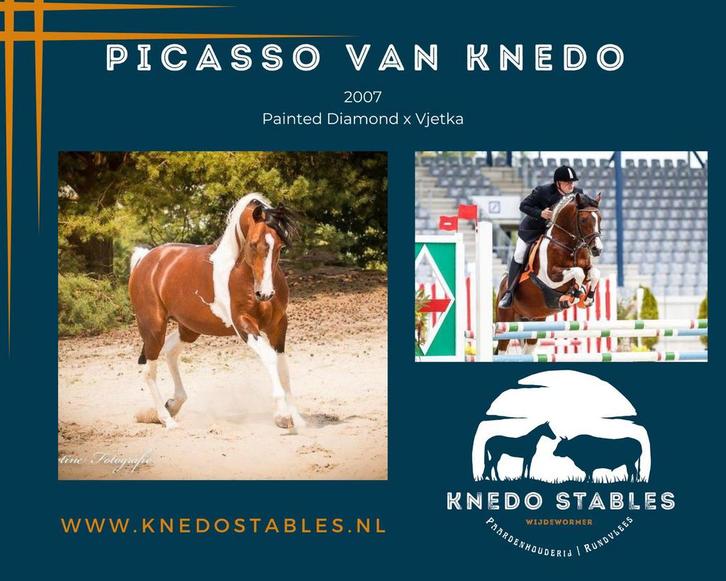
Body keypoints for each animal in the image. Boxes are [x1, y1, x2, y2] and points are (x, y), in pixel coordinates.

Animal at [128, 192, 305, 430]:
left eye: (280, 246)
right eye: (253, 244)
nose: (265, 294)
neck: (241, 273)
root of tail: (145, 260)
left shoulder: (278, 325)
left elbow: (283, 369)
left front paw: (298, 419)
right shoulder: (244, 325)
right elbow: (269, 358)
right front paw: (282, 416)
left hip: (189, 329)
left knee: (170, 351)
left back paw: (173, 404)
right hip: (153, 328)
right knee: (149, 370)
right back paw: (167, 420)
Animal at [495, 192, 603, 356]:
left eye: (600, 218)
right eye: (584, 220)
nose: (598, 249)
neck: (569, 245)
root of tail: (501, 286)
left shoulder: (587, 269)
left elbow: (594, 273)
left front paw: (587, 298)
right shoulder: (550, 277)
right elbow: (577, 273)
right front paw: (574, 294)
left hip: (534, 322)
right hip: (505, 323)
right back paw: (506, 299)